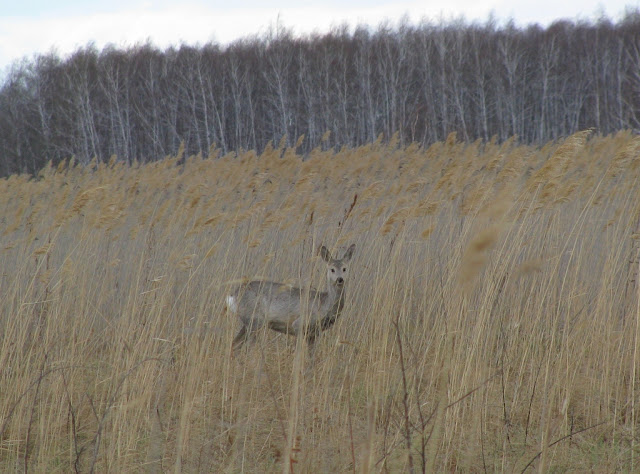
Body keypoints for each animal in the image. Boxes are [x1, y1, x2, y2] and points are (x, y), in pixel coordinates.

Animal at [225, 244, 356, 352]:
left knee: (235, 344)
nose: (340, 279)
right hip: (255, 321)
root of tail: (233, 296)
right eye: (332, 269)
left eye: (344, 268)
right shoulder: (298, 324)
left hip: (249, 322)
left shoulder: (314, 334)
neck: (324, 304)